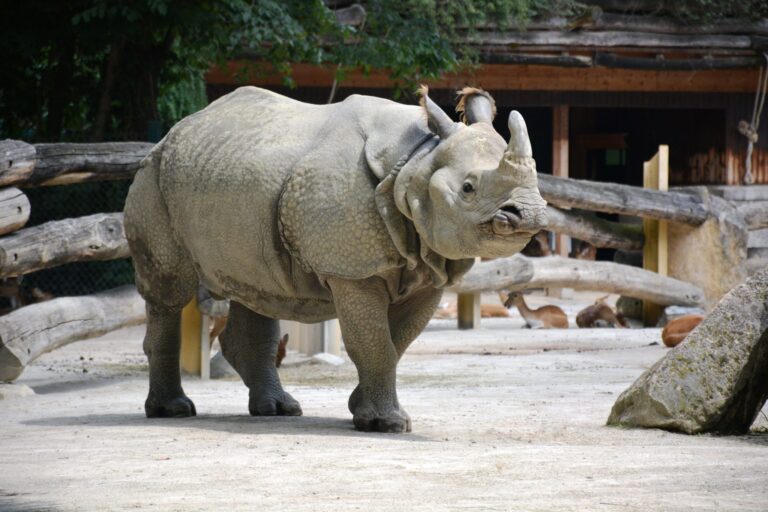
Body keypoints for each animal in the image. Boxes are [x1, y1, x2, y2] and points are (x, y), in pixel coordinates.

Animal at [123, 85, 547, 433]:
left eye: (537, 180)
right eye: (468, 188)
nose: (527, 214)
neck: (414, 163)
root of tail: (172, 133)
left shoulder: (429, 270)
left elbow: (396, 342)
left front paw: (362, 409)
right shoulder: (352, 270)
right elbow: (375, 342)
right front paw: (387, 424)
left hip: (229, 178)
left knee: (255, 288)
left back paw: (278, 410)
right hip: (153, 179)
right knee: (168, 292)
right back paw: (173, 411)